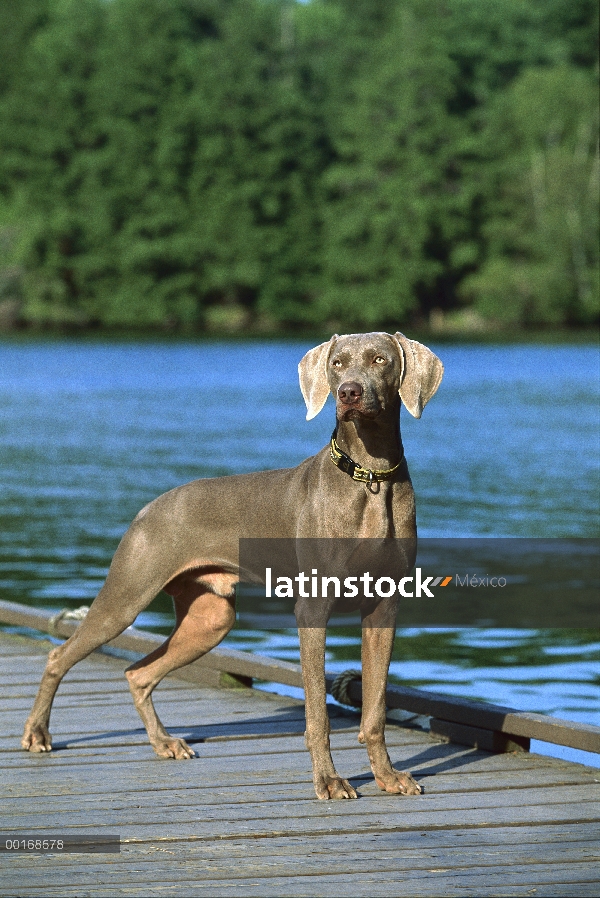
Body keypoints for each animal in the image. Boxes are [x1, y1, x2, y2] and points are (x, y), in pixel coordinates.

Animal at [22, 330, 440, 800]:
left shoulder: (384, 608)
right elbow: (317, 712)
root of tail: (148, 508)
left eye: (380, 359)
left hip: (211, 619)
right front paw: (330, 781)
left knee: (137, 673)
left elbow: (376, 708)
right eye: (336, 363)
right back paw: (37, 734)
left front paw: (388, 776)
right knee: (60, 655)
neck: (369, 478)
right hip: (126, 597)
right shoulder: (313, 609)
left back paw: (164, 742)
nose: (348, 392)